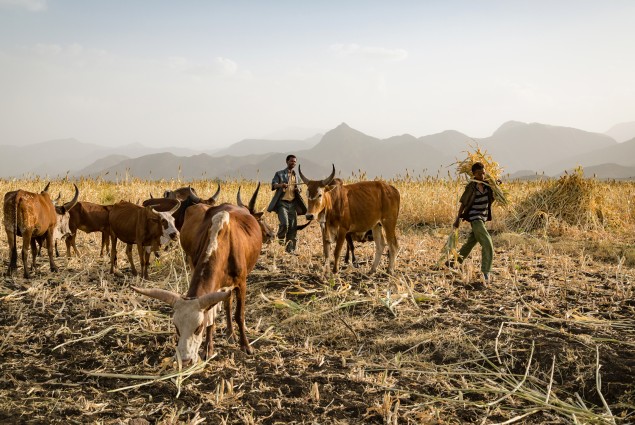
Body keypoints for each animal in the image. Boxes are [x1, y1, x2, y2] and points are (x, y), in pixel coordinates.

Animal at [134, 201, 264, 362]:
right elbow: (211, 319)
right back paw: (229, 333)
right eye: (176, 327)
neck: (222, 242)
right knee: (227, 303)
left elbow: (239, 315)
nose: (185, 360)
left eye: (198, 328)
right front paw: (208, 349)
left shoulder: (241, 284)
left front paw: (245, 346)